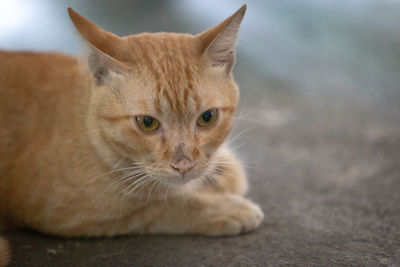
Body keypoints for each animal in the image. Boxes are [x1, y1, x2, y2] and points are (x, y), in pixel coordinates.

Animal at [0, 4, 262, 266]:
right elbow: (159, 207)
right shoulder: (62, 212)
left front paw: (221, 170)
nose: (183, 164)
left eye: (207, 117)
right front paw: (222, 208)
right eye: (147, 123)